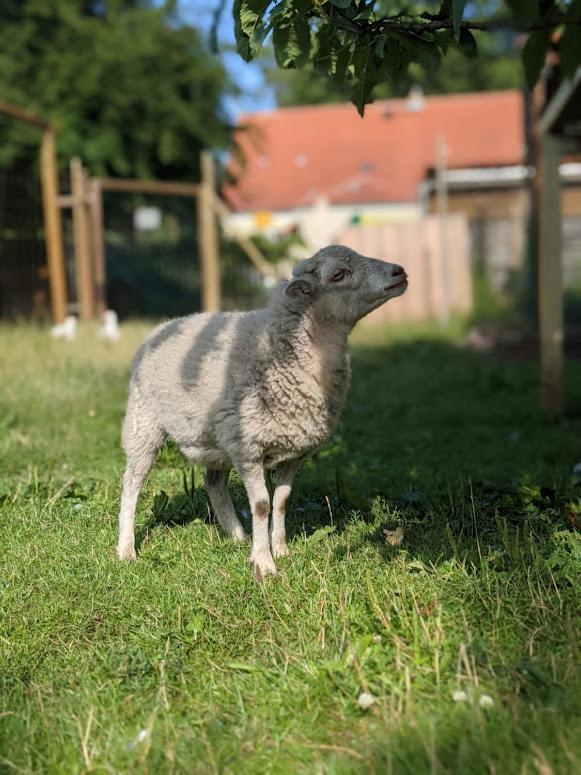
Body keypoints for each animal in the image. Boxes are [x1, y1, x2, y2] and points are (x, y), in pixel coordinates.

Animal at [116, 246, 408, 580]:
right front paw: (264, 563)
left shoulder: (294, 451)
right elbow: (261, 505)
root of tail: (164, 325)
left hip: (216, 436)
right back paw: (126, 549)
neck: (282, 351)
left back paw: (237, 536)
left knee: (213, 482)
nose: (399, 272)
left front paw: (279, 548)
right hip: (144, 422)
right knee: (133, 482)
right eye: (338, 274)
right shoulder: (248, 448)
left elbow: (281, 502)